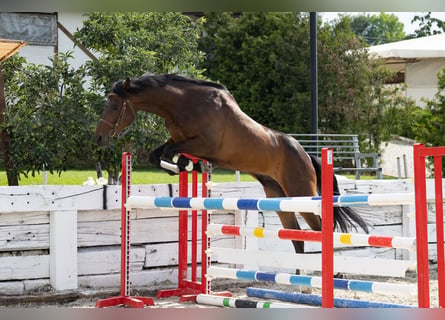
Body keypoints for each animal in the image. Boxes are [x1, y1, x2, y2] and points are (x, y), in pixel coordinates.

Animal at [96, 74, 368, 256]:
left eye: (114, 105)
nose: (99, 138)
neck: (185, 105)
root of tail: (306, 154)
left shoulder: (205, 144)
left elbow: (170, 153)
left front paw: (186, 165)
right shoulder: (178, 140)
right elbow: (157, 154)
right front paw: (185, 166)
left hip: (300, 193)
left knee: (320, 229)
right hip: (279, 196)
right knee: (296, 236)